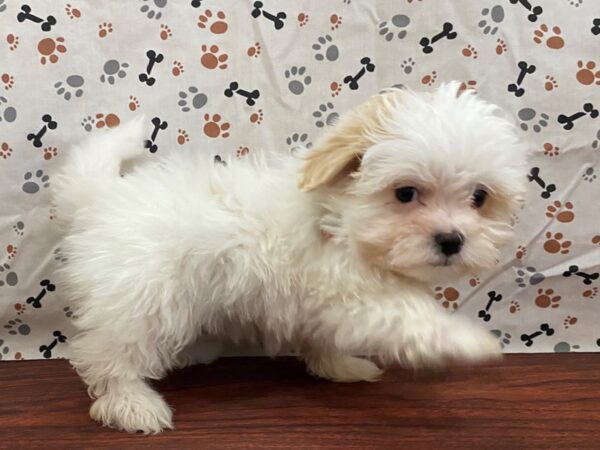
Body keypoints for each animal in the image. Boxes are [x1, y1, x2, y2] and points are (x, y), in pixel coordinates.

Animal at [52, 82, 528, 434]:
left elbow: (327, 338)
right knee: (107, 355)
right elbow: (412, 319)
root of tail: (102, 196)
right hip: (141, 295)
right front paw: (471, 342)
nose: (451, 240)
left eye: (480, 198)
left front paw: (340, 367)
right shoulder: (357, 298)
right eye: (406, 193)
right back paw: (132, 404)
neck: (341, 222)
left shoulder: (322, 306)